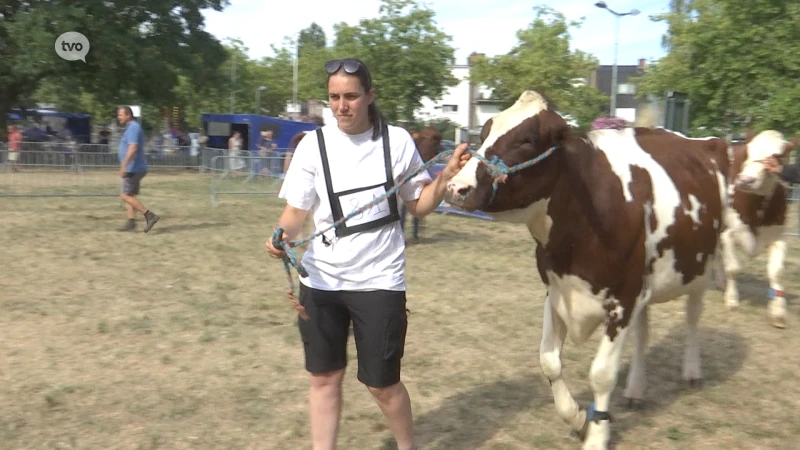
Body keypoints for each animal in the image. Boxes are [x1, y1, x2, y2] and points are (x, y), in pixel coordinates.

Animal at [444, 91, 732, 450]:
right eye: (484, 133)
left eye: (528, 140)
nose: (457, 187)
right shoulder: (556, 290)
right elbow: (549, 361)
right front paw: (579, 419)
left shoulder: (624, 299)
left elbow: (601, 374)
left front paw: (597, 433)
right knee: (644, 332)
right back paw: (635, 389)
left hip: (700, 268)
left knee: (692, 318)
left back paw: (692, 372)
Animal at [720, 129, 796, 326]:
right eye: (748, 151)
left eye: (777, 156)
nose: (746, 180)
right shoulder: (727, 234)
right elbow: (733, 268)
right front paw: (732, 299)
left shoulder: (778, 237)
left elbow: (776, 272)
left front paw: (778, 310)